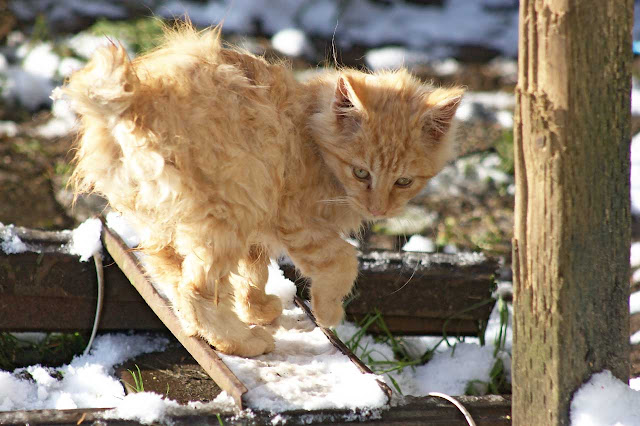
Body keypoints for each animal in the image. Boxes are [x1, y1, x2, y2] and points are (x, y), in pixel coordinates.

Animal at [62, 23, 464, 356]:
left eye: (404, 181)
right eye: (361, 172)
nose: (379, 209)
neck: (309, 132)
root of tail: (132, 101)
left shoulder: (259, 219)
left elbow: (254, 271)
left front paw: (256, 307)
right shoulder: (294, 219)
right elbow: (342, 260)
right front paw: (328, 310)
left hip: (170, 216)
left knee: (168, 270)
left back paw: (208, 328)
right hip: (225, 211)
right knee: (195, 289)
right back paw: (242, 342)